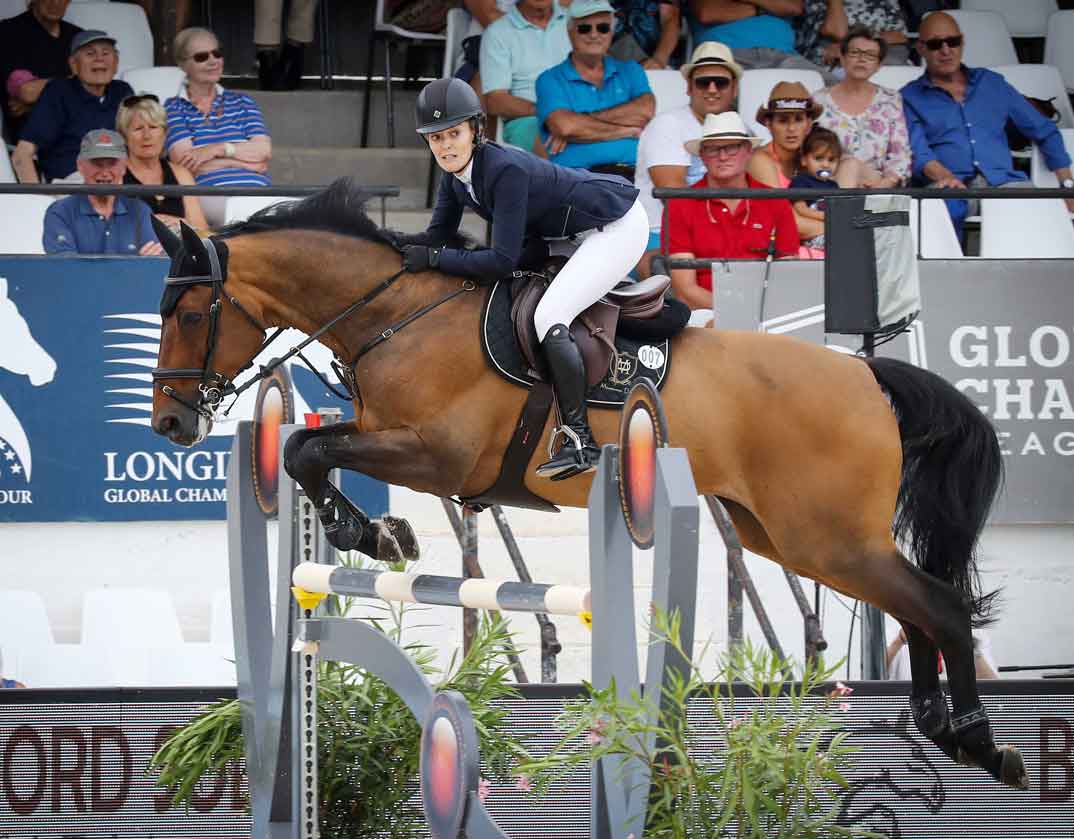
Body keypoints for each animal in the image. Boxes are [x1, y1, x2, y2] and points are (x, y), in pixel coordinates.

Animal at [147, 178, 1026, 790]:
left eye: (189, 314)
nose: (171, 425)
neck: (397, 315)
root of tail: (867, 373)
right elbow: (309, 447)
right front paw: (376, 533)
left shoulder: (436, 455)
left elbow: (306, 448)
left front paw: (373, 533)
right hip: (800, 538)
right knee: (913, 605)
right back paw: (940, 724)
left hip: (827, 535)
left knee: (937, 604)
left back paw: (982, 741)